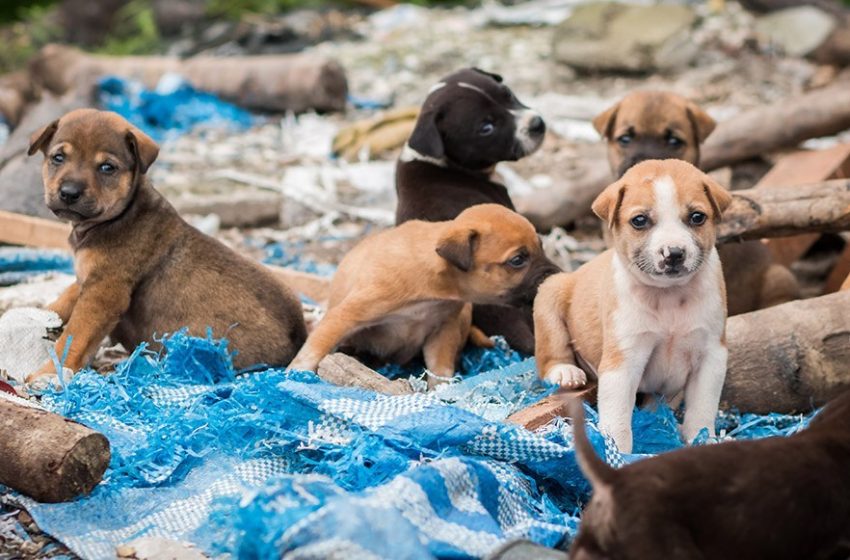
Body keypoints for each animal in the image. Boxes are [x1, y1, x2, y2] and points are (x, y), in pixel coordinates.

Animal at [26, 108, 308, 380]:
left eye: (107, 167)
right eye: (58, 158)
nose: (69, 193)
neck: (120, 215)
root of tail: (299, 335)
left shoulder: (104, 292)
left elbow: (74, 336)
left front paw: (50, 372)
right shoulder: (89, 280)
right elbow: (64, 301)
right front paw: (32, 314)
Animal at [288, 203, 560, 388]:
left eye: (541, 247)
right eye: (518, 260)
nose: (556, 274)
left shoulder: (443, 332)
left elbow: (440, 368)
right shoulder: (346, 315)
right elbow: (314, 348)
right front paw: (294, 374)